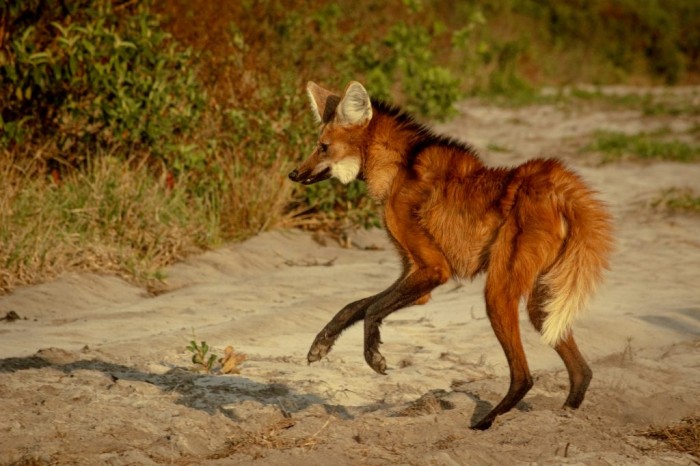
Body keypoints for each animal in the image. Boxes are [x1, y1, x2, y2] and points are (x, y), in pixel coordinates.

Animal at [288, 81, 613, 429]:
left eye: (323, 147)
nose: (294, 174)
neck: (397, 169)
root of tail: (554, 183)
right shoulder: (414, 274)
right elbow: (354, 306)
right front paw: (321, 344)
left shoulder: (433, 269)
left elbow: (372, 308)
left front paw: (373, 357)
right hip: (543, 304)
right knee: (582, 371)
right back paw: (564, 417)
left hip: (498, 294)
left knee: (523, 376)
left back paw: (483, 424)